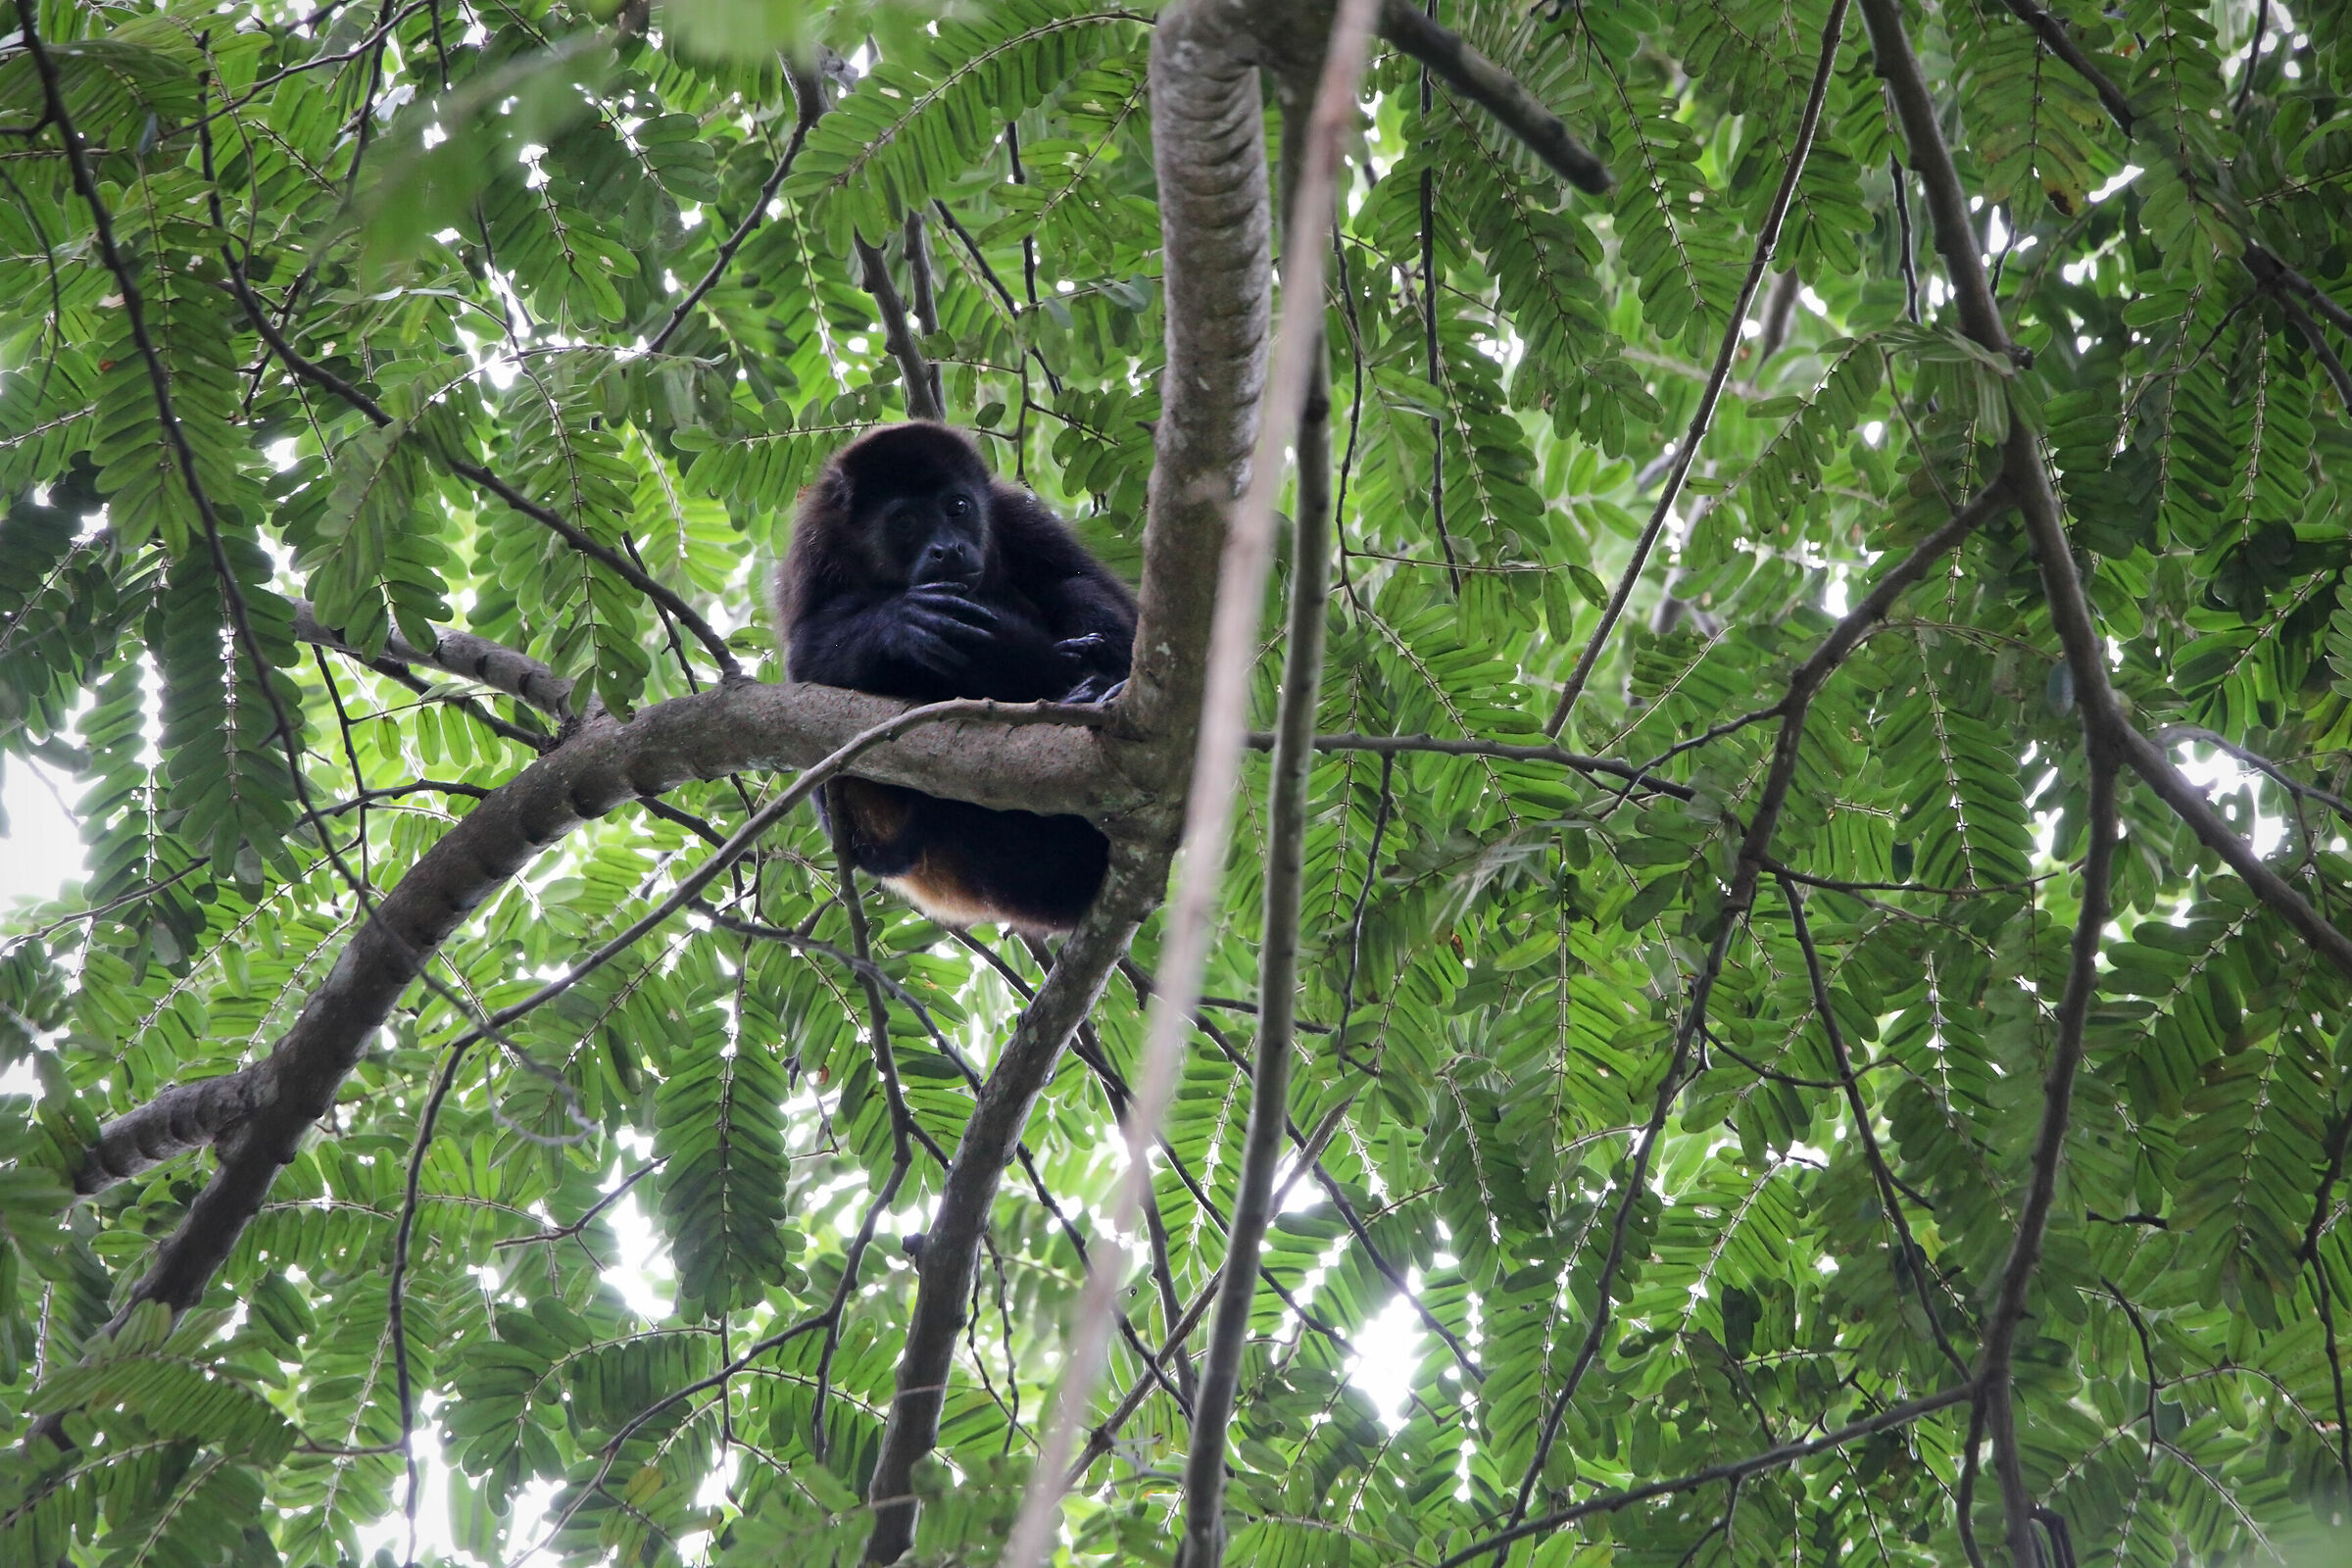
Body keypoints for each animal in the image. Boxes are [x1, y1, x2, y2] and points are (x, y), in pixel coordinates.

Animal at [774, 422, 1136, 935]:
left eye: (958, 508)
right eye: (904, 522)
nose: (948, 549)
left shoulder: (1018, 517)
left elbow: (1117, 606)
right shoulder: (814, 547)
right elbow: (805, 660)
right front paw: (904, 623)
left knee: (1074, 587)